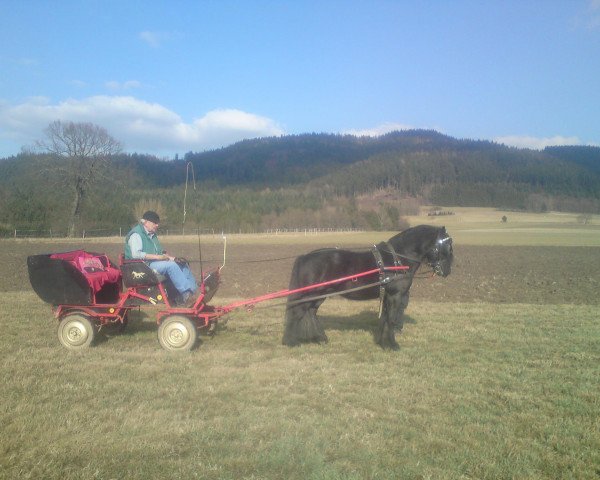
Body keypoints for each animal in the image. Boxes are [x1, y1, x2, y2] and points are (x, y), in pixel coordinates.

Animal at [284, 225, 452, 348]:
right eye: (447, 245)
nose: (447, 271)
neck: (397, 259)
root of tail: (305, 256)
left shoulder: (387, 296)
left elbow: (385, 318)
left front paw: (382, 342)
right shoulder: (395, 295)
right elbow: (391, 319)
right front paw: (392, 345)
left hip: (320, 294)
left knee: (311, 312)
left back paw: (320, 338)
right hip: (311, 293)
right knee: (297, 312)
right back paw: (291, 341)